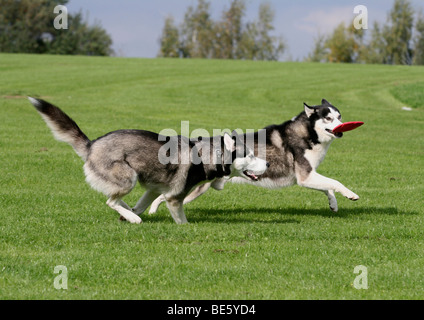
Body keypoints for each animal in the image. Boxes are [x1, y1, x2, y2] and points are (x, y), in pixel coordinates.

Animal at [28, 97, 268, 225]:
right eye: (249, 155)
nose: (267, 163)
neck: (204, 157)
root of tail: (92, 144)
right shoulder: (174, 197)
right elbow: (182, 220)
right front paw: (185, 227)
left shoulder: (154, 189)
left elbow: (143, 205)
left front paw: (133, 212)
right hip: (128, 178)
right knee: (110, 201)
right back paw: (132, 218)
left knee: (115, 200)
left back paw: (128, 213)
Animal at [151, 99, 360, 215]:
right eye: (328, 119)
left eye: (339, 117)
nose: (341, 128)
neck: (307, 134)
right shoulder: (305, 177)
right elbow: (335, 182)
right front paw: (350, 194)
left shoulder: (309, 176)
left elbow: (328, 187)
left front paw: (333, 204)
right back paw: (152, 211)